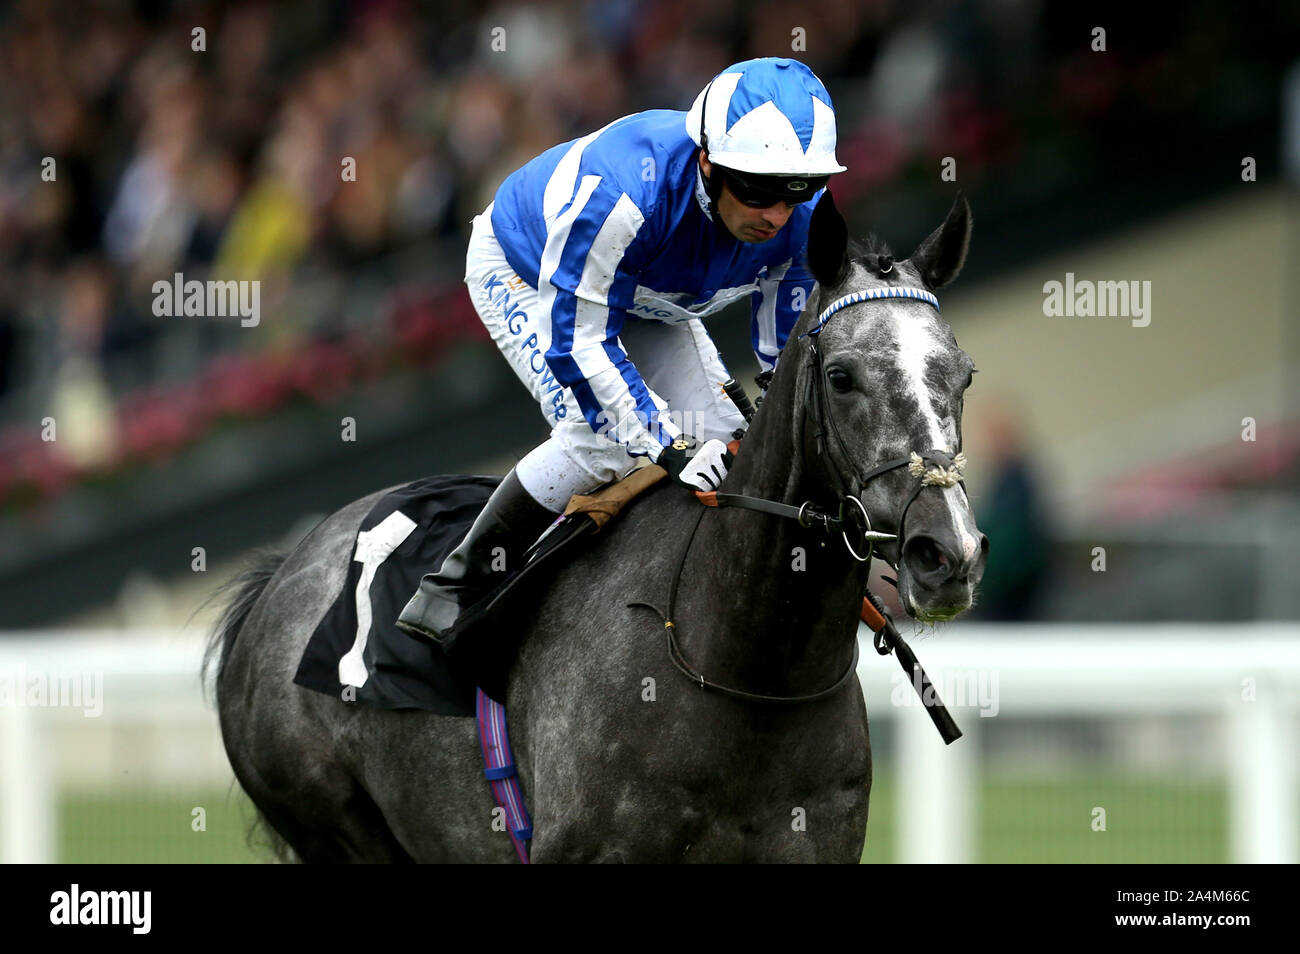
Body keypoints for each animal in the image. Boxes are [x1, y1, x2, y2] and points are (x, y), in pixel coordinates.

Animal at [202, 192, 982, 868]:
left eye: (964, 374)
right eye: (843, 377)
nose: (947, 553)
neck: (742, 668)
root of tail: (283, 573)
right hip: (336, 824)